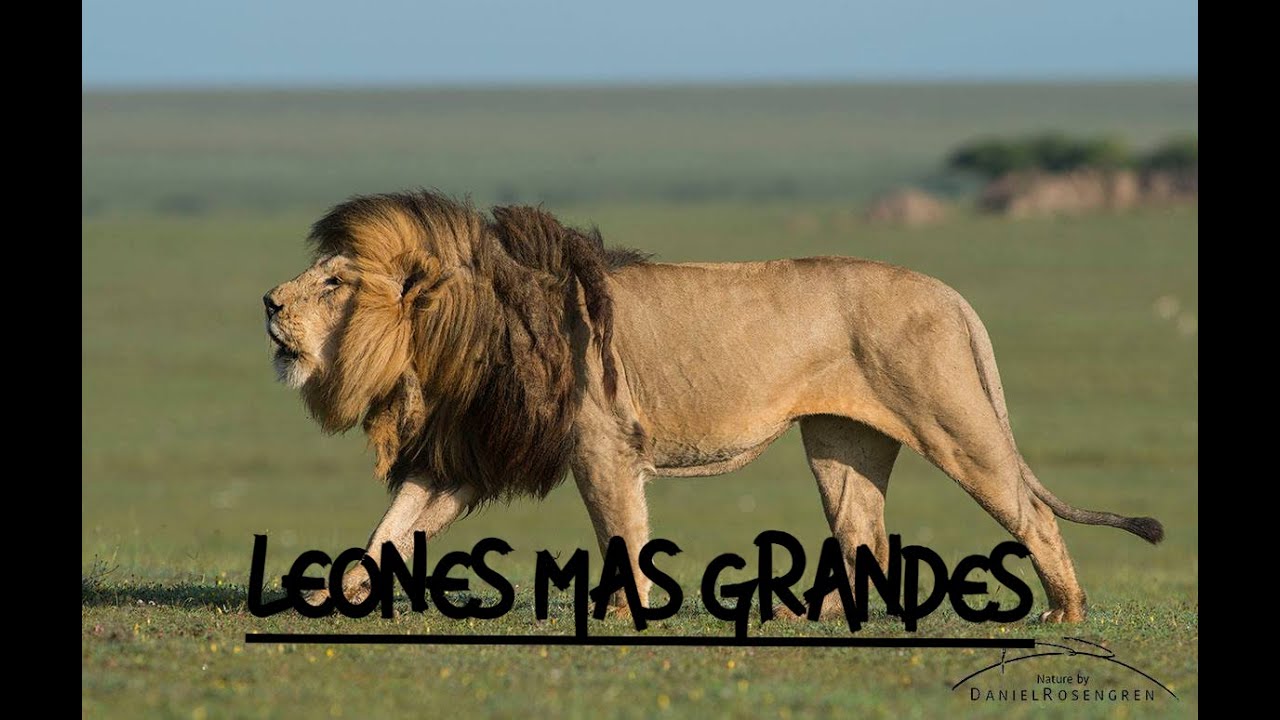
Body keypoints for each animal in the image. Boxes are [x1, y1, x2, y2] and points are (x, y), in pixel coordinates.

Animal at [263, 190, 1163, 624]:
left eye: (335, 282)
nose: (268, 302)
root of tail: (950, 292)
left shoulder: (603, 445)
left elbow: (620, 534)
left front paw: (622, 610)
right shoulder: (467, 457)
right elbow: (390, 532)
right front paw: (331, 595)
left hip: (950, 418)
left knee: (1027, 512)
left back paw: (1064, 611)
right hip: (841, 439)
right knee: (861, 532)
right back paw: (810, 613)